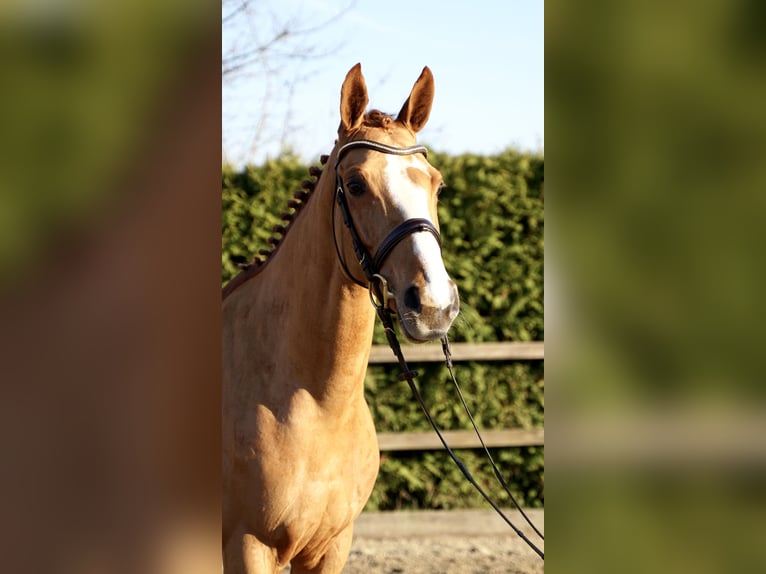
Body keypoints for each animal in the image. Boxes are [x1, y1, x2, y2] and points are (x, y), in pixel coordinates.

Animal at [222, 63, 460, 573]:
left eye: (437, 184)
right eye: (355, 185)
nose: (434, 305)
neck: (316, 405)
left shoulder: (332, 546)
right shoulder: (247, 546)